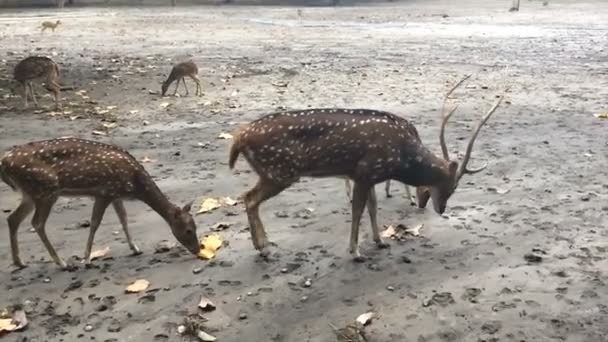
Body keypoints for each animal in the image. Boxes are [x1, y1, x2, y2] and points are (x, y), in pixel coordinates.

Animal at [0, 137, 200, 270]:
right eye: (188, 230)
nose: (198, 249)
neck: (134, 184)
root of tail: (4, 163)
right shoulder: (104, 192)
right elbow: (95, 223)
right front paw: (87, 259)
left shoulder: (116, 195)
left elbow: (124, 219)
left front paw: (135, 248)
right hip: (46, 190)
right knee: (37, 223)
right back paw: (61, 262)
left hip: (30, 194)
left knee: (13, 219)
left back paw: (19, 261)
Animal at [228, 75, 504, 260]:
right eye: (451, 185)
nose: (441, 209)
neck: (401, 157)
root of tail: (239, 137)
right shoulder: (364, 172)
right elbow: (358, 210)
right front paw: (355, 251)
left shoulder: (369, 175)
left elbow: (372, 207)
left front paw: (380, 241)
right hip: (279, 171)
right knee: (249, 198)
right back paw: (263, 247)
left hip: (273, 172)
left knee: (247, 197)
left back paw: (264, 245)